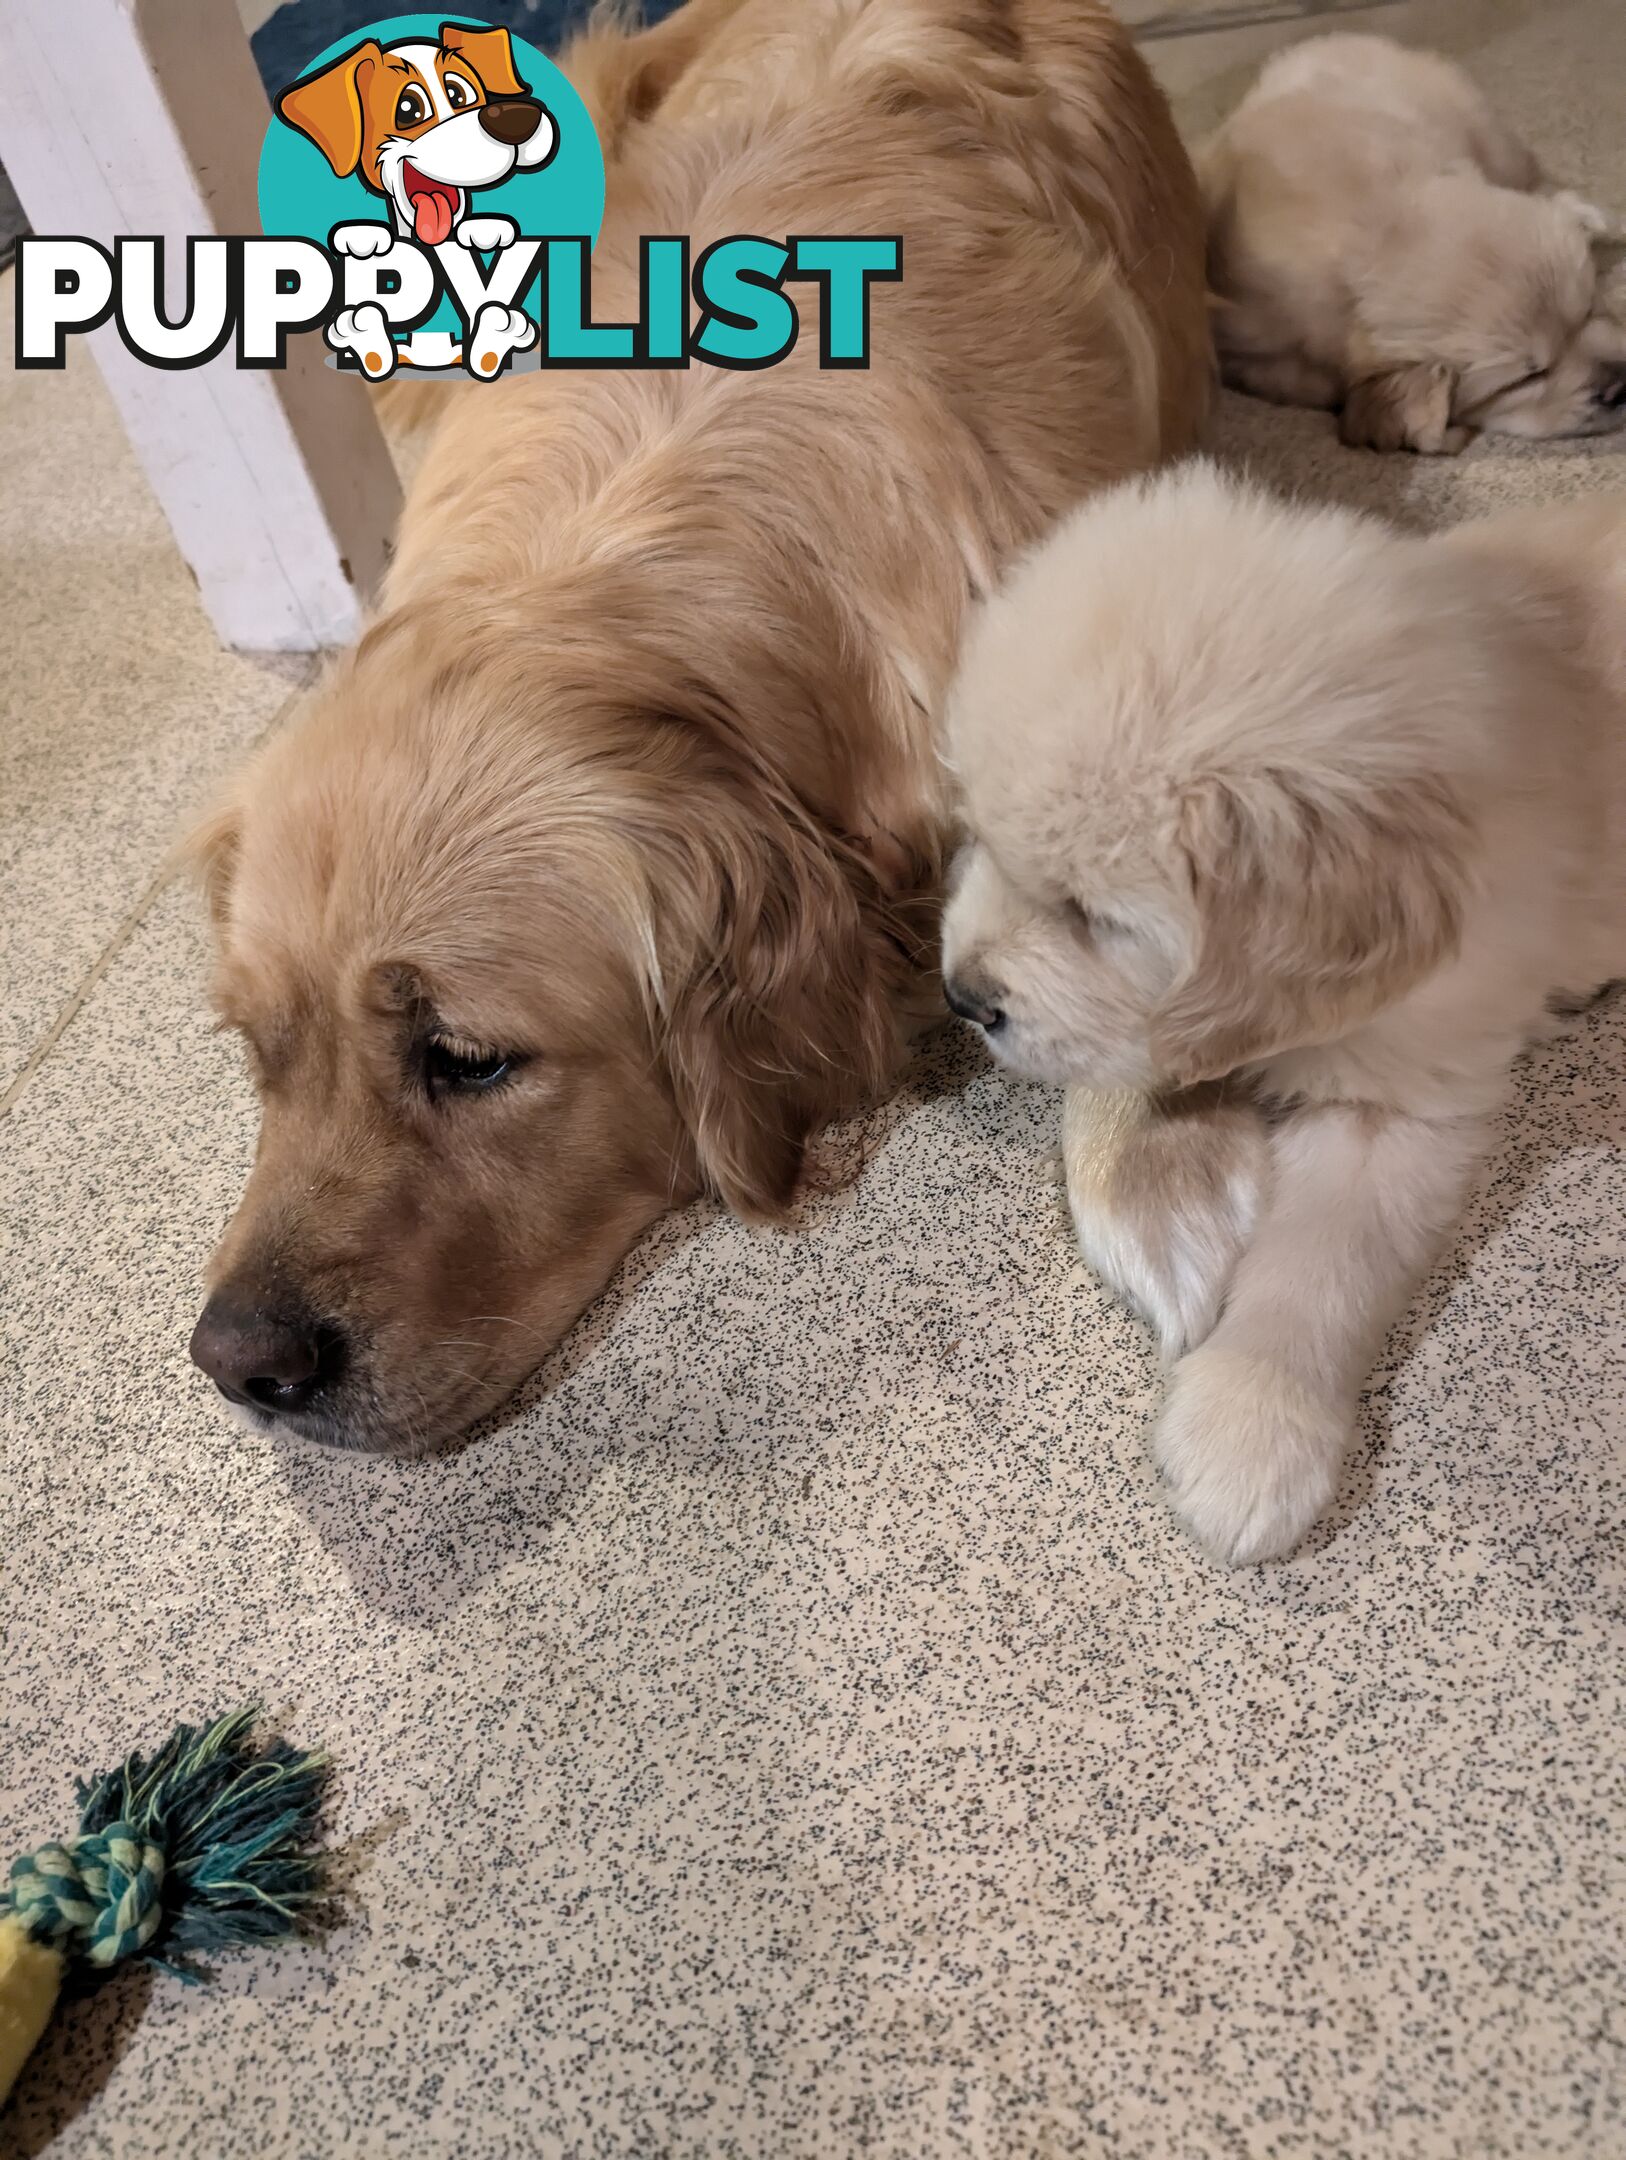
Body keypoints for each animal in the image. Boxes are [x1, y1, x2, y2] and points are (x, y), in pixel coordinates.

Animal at [937, 464, 1623, 1563]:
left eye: (1094, 916)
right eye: (977, 837)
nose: (960, 996)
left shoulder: (1405, 1098)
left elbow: (1321, 1262)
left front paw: (1251, 1431)